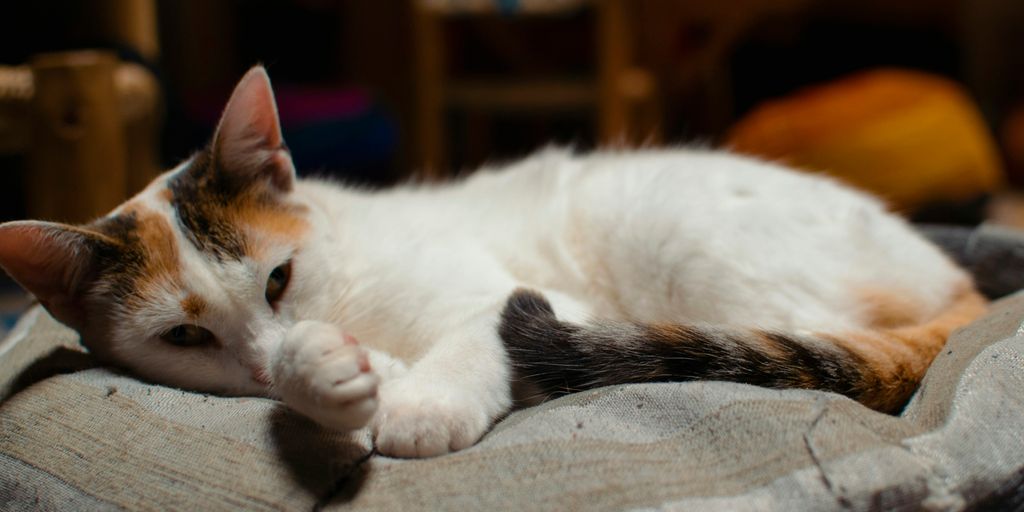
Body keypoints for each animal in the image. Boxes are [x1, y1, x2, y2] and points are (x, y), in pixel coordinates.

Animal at [0, 66, 991, 458]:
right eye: (184, 338)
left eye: (279, 279)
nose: (264, 358)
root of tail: (959, 279)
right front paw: (329, 377)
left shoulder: (516, 298)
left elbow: (468, 345)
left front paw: (416, 406)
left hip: (675, 237)